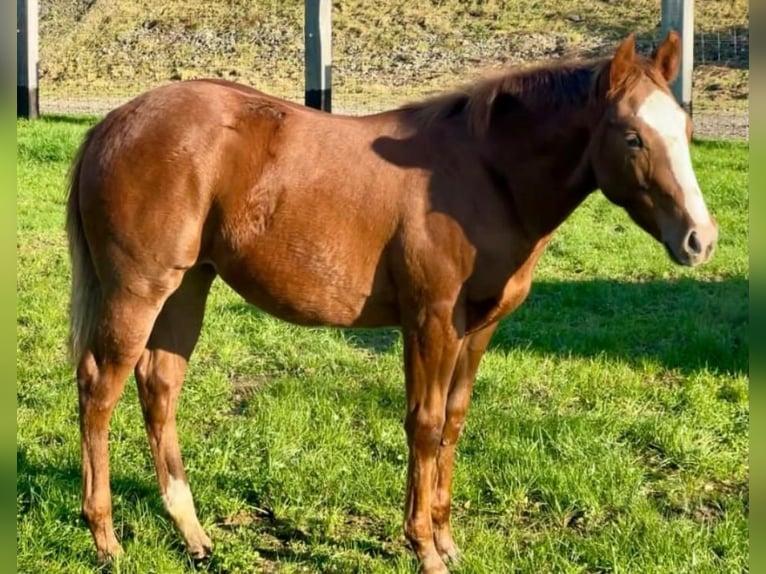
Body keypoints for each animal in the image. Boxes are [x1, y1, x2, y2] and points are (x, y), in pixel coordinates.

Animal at [65, 30, 717, 573]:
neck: (482, 176)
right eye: (632, 136)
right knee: (100, 389)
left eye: (685, 133)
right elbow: (423, 426)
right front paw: (423, 547)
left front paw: (447, 540)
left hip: (188, 285)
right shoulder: (430, 322)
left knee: (159, 385)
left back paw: (193, 535)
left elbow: (453, 421)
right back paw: (105, 540)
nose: (700, 240)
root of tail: (111, 124)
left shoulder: (477, 329)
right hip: (139, 289)